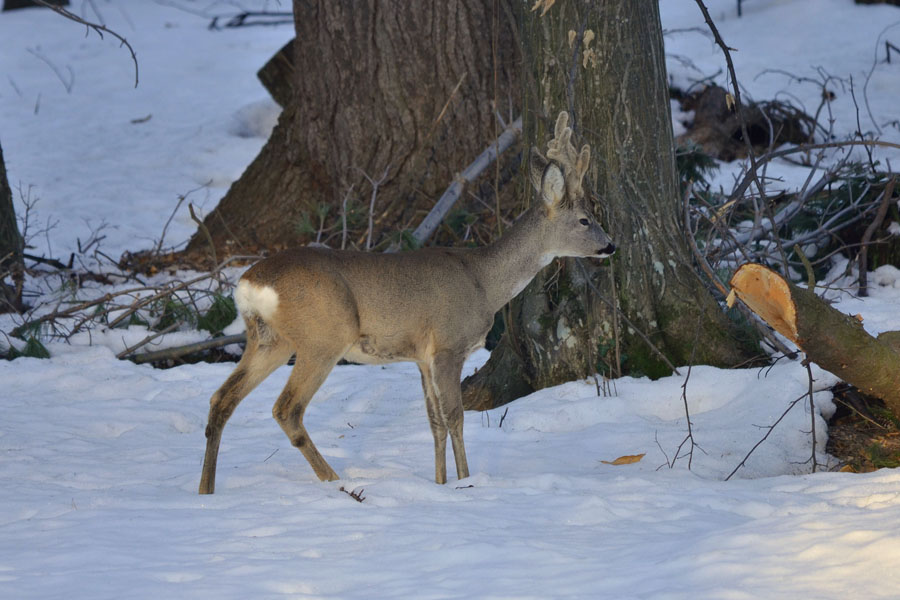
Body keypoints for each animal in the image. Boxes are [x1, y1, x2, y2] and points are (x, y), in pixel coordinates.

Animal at [200, 111, 616, 492]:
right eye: (585, 219)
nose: (611, 245)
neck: (483, 280)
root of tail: (250, 283)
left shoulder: (421, 356)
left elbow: (434, 422)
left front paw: (440, 483)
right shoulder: (448, 344)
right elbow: (455, 416)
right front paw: (466, 482)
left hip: (269, 339)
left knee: (222, 399)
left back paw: (206, 490)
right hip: (324, 336)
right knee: (287, 408)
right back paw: (334, 480)